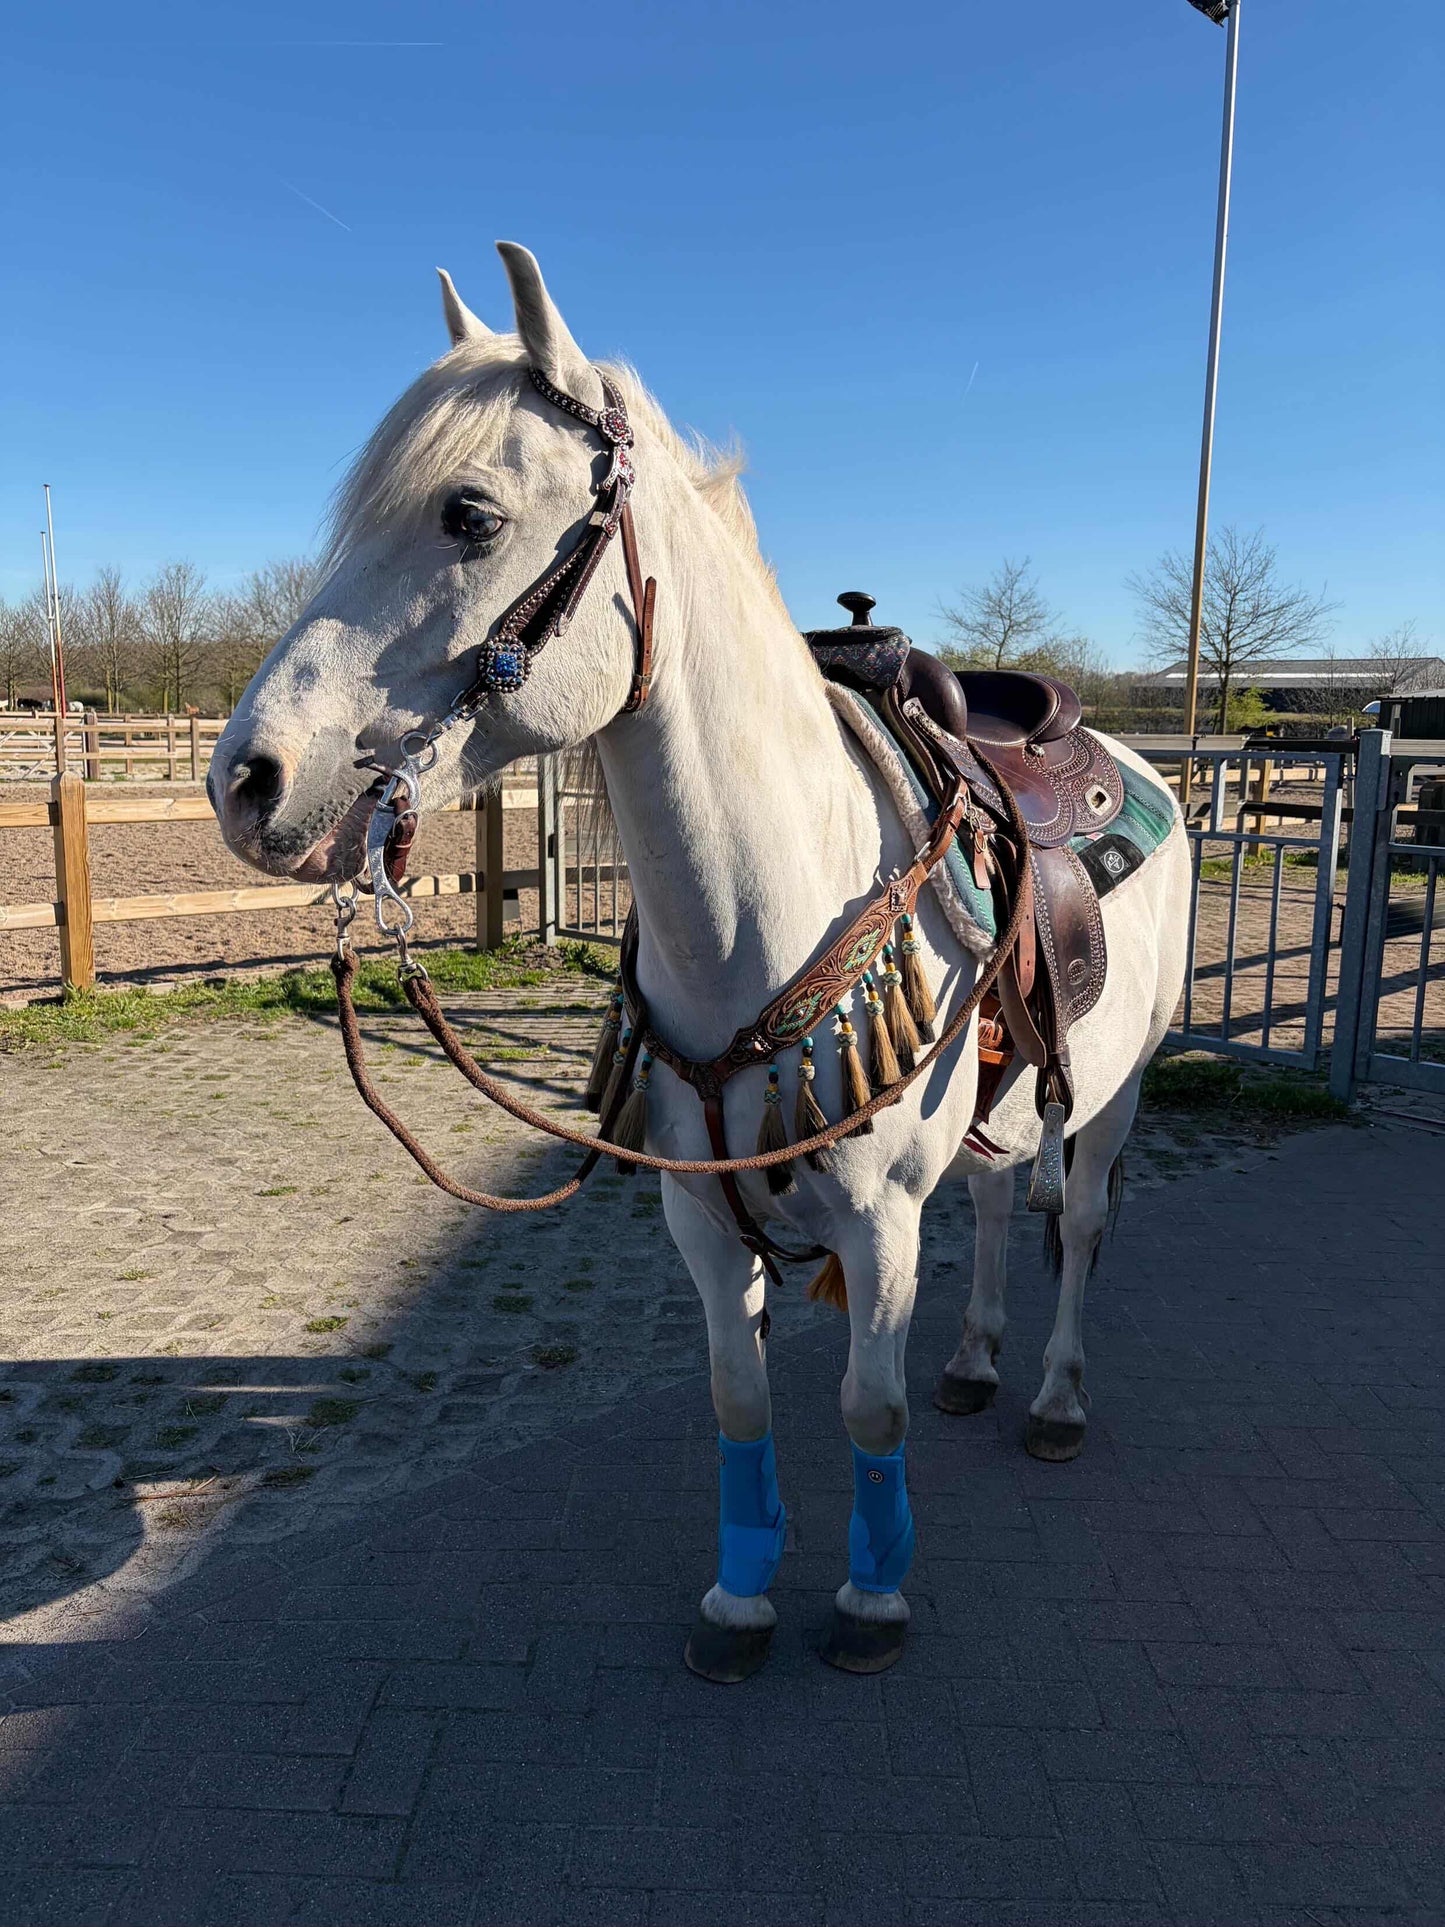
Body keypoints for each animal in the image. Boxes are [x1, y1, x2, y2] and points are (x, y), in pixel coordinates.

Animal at [211, 244, 1191, 1680]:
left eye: (468, 514)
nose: (244, 780)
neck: (760, 915)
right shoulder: (698, 1218)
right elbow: (739, 1397)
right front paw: (741, 1595)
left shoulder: (878, 1222)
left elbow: (869, 1406)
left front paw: (870, 1598)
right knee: (1001, 1204)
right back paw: (977, 1359)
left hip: (1112, 1091)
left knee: (1082, 1219)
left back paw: (1055, 1393)